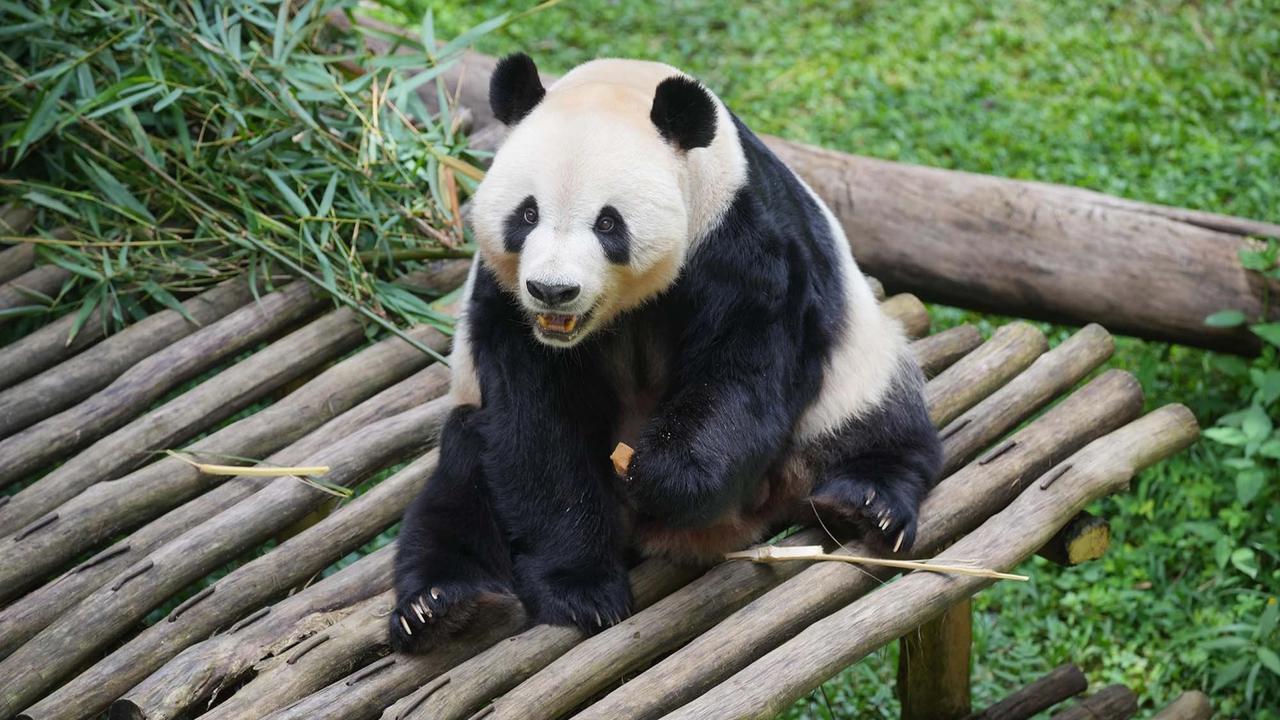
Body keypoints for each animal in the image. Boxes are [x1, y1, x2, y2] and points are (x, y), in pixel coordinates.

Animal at [390, 53, 942, 652]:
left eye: (608, 222)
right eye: (527, 214)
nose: (552, 290)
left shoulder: (739, 237)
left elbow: (742, 371)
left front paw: (661, 474)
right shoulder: (505, 303)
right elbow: (536, 426)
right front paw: (581, 589)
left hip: (852, 370)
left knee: (880, 422)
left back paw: (867, 504)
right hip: (469, 426)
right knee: (459, 484)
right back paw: (440, 605)